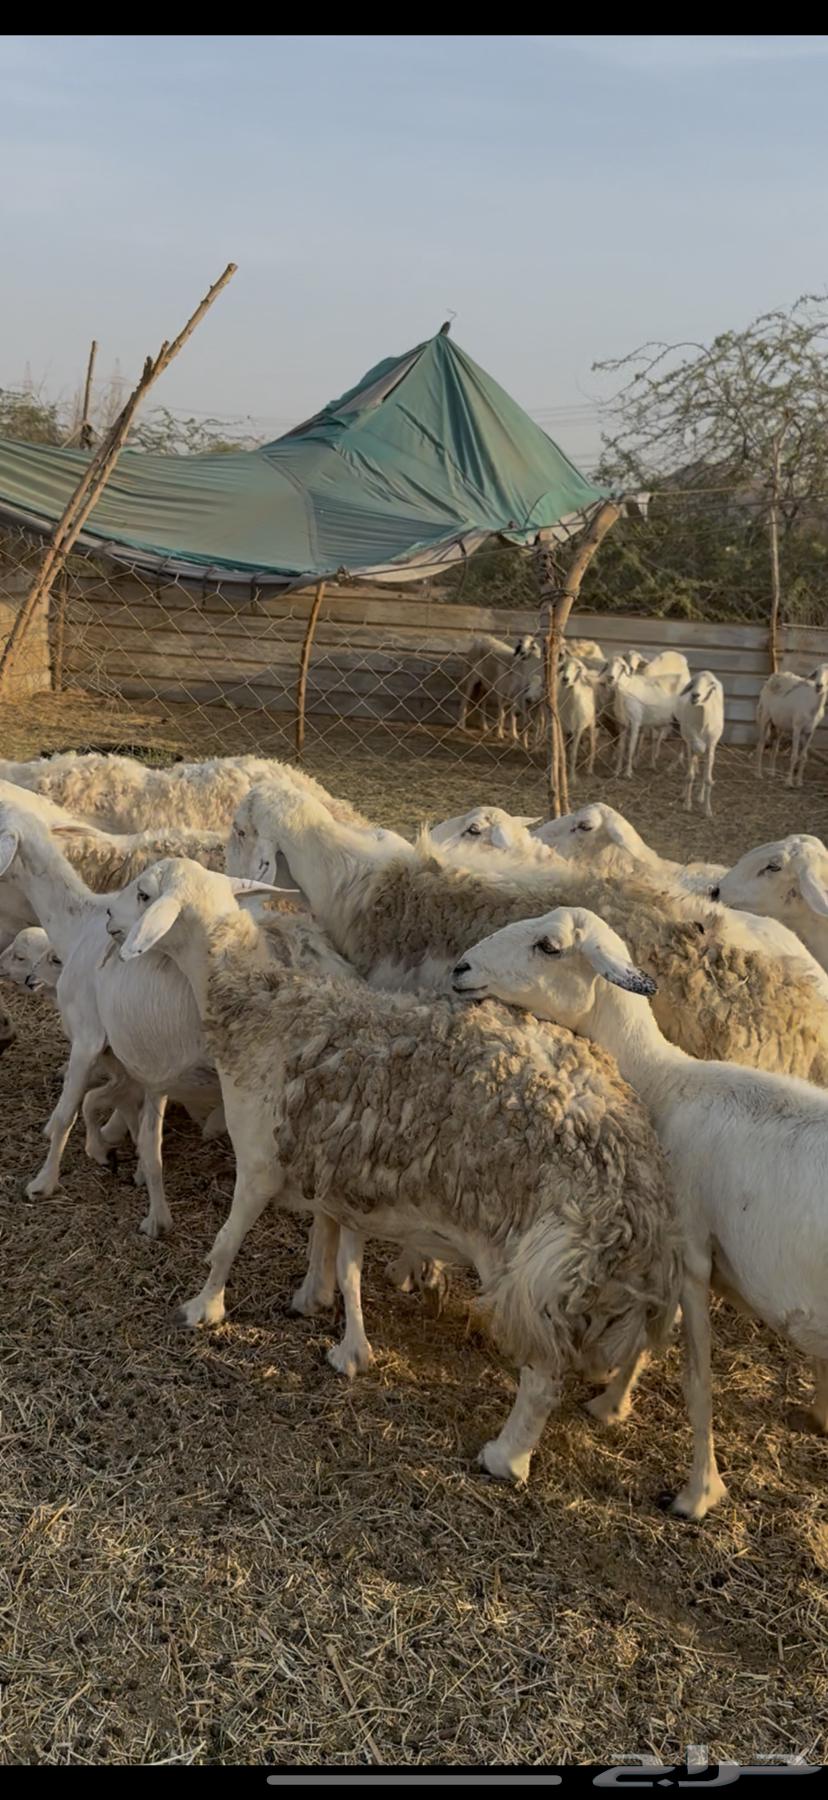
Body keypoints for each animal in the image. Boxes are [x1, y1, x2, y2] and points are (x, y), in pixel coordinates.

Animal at [109, 854, 681, 1489]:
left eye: (143, 894)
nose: (109, 921)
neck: (263, 1008)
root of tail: (632, 1191)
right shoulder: (338, 1171)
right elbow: (339, 1254)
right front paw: (330, 1319)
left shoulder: (258, 1159)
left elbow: (226, 1243)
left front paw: (201, 1310)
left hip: (538, 1270)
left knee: (543, 1376)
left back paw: (505, 1457)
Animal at [453, 904, 828, 1517]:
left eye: (548, 946)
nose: (460, 968)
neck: (664, 1081)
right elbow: (654, 1332)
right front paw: (611, 1402)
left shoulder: (691, 1254)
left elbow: (695, 1378)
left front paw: (698, 1493)